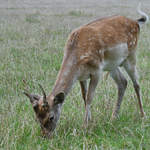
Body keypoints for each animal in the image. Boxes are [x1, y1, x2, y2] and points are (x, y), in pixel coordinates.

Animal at [24, 4, 148, 137]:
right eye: (37, 118)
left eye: (51, 117)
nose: (45, 136)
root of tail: (136, 22)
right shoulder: (81, 76)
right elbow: (84, 96)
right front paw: (90, 122)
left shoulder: (97, 71)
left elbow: (89, 97)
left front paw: (84, 127)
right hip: (112, 65)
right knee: (123, 82)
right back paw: (113, 117)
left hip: (131, 55)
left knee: (136, 84)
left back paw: (143, 116)